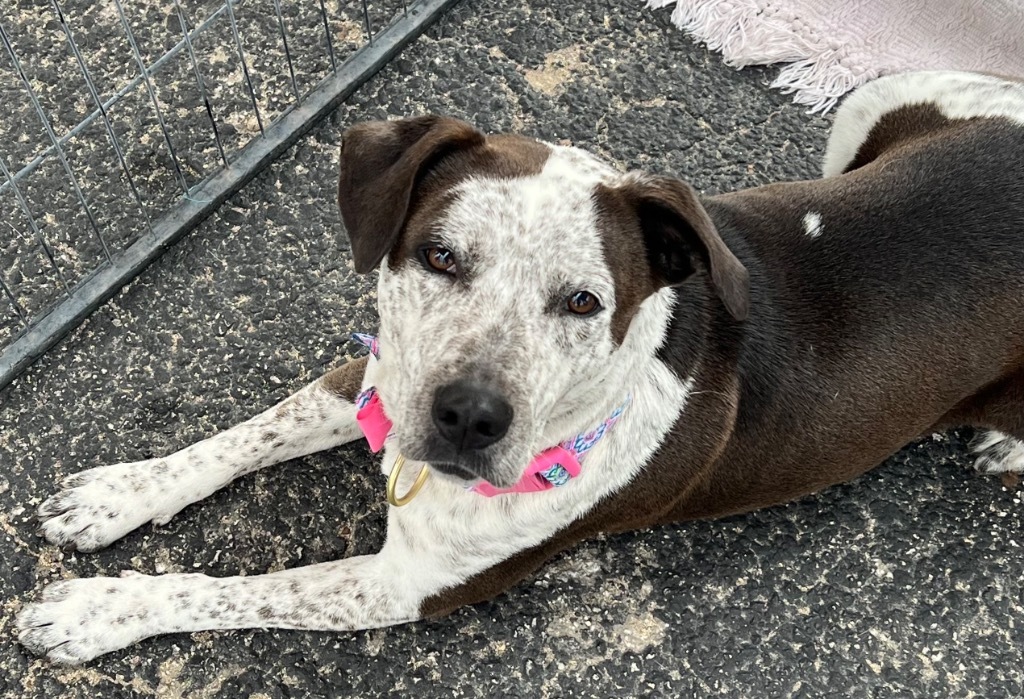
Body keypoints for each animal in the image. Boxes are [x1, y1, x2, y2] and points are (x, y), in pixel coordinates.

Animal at [16, 71, 1024, 667]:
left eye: (582, 301)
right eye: (439, 256)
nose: (469, 416)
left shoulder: (404, 584)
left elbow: (235, 590)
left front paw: (98, 611)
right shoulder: (381, 375)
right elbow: (242, 437)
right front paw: (117, 494)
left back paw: (1004, 447)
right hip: (871, 105)